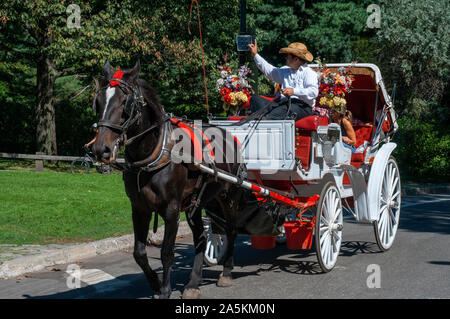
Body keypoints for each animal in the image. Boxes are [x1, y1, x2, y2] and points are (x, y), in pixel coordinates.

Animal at [92, 60, 246, 300]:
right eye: (98, 102)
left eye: (125, 103)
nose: (101, 149)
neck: (154, 153)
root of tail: (230, 136)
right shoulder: (139, 208)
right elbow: (139, 253)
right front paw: (155, 285)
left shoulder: (171, 208)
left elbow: (166, 252)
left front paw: (165, 290)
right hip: (196, 204)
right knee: (201, 238)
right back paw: (193, 283)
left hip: (229, 197)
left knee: (231, 230)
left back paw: (227, 272)